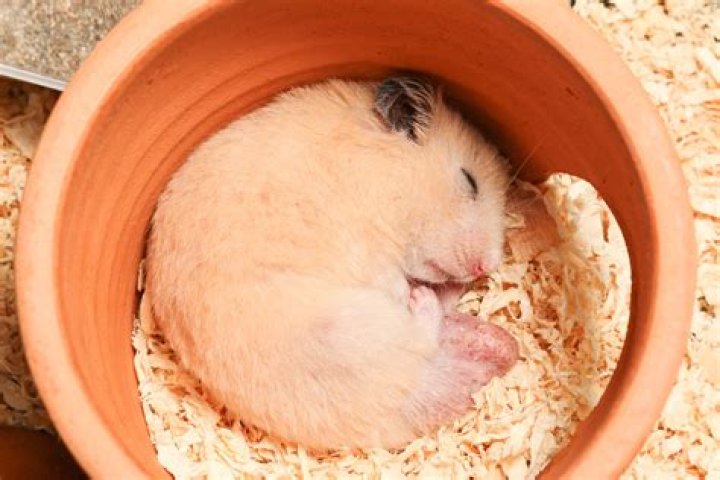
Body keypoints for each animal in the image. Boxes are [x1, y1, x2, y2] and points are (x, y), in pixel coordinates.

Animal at [146, 74, 519, 450]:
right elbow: (391, 280)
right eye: (469, 181)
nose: (486, 267)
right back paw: (421, 298)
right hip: (347, 331)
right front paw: (410, 290)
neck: (381, 174)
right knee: (422, 335)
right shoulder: (370, 248)